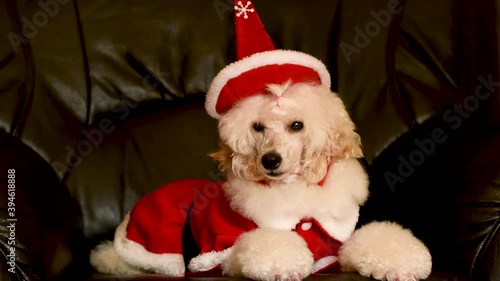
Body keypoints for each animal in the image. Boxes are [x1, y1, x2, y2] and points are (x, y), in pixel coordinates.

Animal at [91, 80, 434, 278]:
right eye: (257, 127)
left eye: (297, 125)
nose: (270, 160)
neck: (293, 190)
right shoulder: (220, 252)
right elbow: (262, 247)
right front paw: (285, 264)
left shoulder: (336, 243)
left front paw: (401, 261)